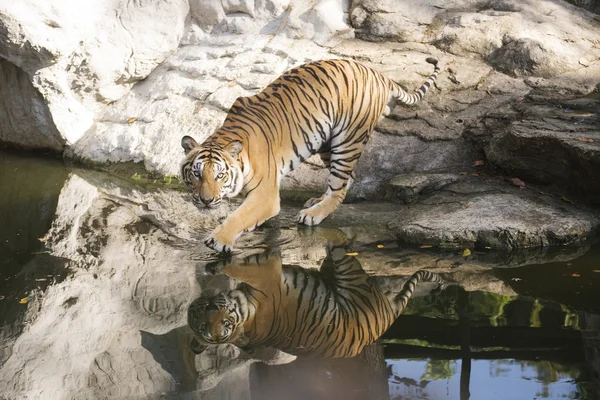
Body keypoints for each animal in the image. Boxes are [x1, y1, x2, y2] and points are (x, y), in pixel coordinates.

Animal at [179, 57, 440, 252]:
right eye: (196, 174)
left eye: (220, 175)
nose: (205, 201)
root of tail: (378, 74)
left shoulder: (265, 195)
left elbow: (239, 216)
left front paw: (219, 240)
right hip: (325, 141)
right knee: (347, 178)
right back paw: (316, 201)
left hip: (348, 138)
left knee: (340, 187)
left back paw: (313, 214)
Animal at [188, 228, 450, 360]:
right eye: (206, 328)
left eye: (222, 323)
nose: (210, 306)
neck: (246, 315)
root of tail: (386, 318)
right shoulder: (266, 272)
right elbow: (238, 266)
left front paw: (216, 259)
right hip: (348, 271)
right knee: (339, 241)